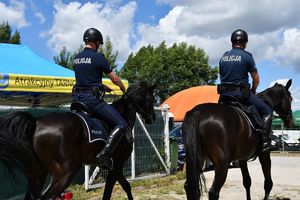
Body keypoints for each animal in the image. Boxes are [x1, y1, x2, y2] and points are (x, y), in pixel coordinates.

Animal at [0, 81, 156, 200]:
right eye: (152, 99)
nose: (153, 118)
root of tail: (37, 122)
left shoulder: (114, 166)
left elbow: (121, 187)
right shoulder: (117, 164)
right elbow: (119, 188)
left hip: (38, 174)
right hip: (65, 173)